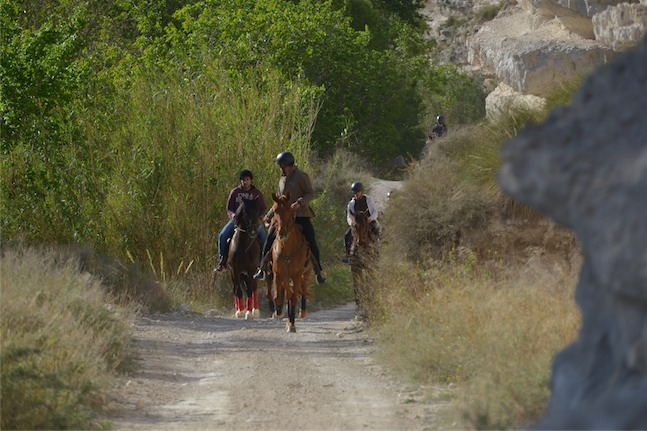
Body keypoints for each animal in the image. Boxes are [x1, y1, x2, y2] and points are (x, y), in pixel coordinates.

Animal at [270, 192, 312, 334]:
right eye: (275, 210)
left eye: (289, 209)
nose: (281, 232)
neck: (287, 248)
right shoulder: (278, 274)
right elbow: (279, 297)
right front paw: (279, 313)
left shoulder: (296, 275)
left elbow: (293, 298)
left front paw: (292, 324)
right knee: (289, 293)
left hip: (306, 273)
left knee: (303, 289)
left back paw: (302, 312)